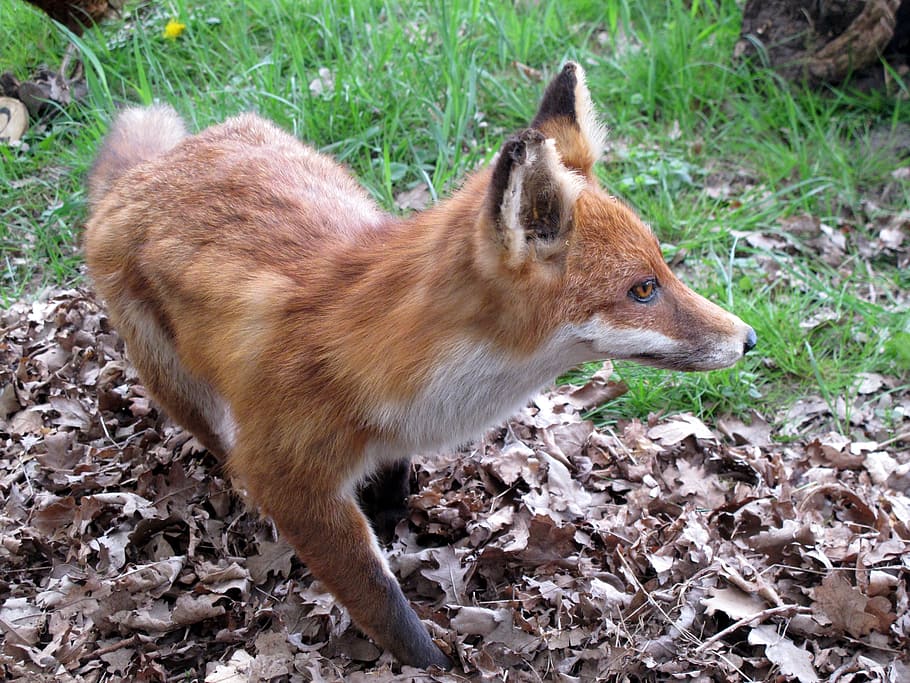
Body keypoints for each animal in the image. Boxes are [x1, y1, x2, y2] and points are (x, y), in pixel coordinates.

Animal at [84, 62, 756, 669]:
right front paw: (431, 663)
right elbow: (382, 602)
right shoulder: (291, 479)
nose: (749, 338)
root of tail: (149, 169)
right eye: (643, 290)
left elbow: (392, 486)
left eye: (663, 269)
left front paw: (391, 511)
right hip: (181, 390)